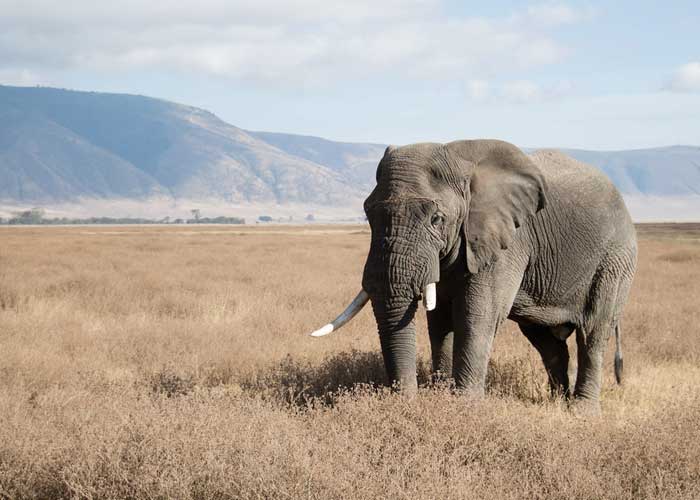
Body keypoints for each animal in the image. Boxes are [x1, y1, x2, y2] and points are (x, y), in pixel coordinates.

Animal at [308, 140, 636, 414]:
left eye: (436, 219)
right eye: (367, 215)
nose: (403, 402)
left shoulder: (508, 239)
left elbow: (476, 315)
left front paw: (464, 407)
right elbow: (439, 319)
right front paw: (440, 394)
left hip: (615, 261)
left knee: (593, 332)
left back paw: (581, 412)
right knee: (546, 341)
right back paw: (557, 403)